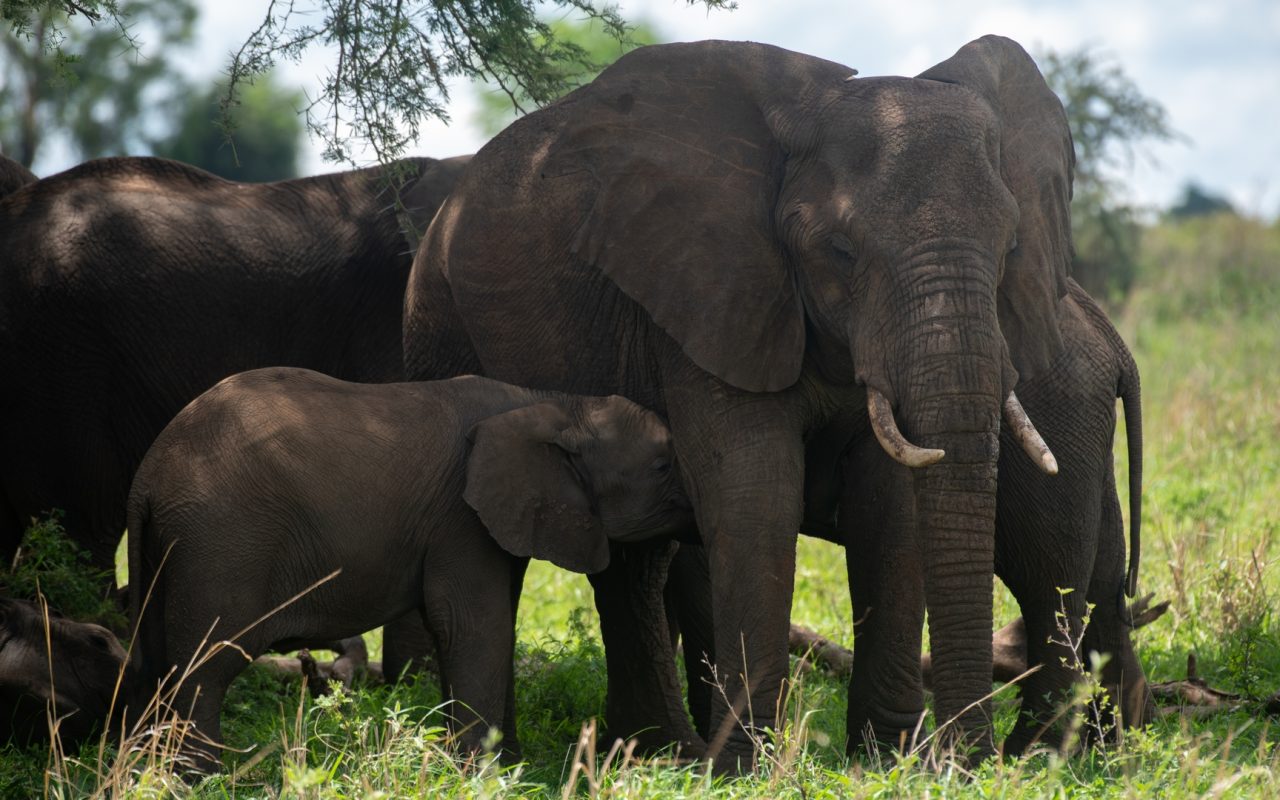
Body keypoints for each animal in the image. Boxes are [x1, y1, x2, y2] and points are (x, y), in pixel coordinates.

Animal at [124, 368, 696, 773]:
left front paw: (510, 767)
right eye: (663, 465)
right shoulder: (460, 519)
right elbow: (471, 627)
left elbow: (488, 629)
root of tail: (147, 474)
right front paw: (483, 776)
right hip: (221, 543)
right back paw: (198, 777)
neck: (554, 402)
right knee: (207, 663)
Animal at [401, 34, 1070, 762]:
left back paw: (653, 749)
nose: (973, 760)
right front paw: (750, 767)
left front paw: (888, 759)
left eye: (1011, 245)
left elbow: (889, 512)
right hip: (438, 319)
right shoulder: (707, 292)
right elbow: (757, 496)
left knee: (633, 560)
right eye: (840, 250)